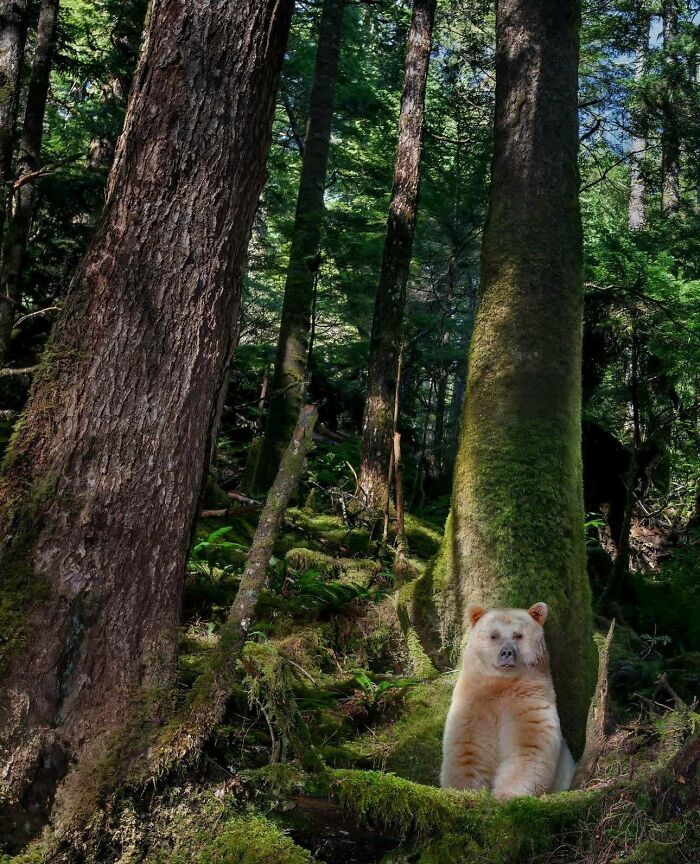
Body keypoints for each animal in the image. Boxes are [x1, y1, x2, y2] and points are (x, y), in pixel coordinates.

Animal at [440, 602, 575, 799]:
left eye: (518, 635)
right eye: (494, 635)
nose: (507, 653)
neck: (502, 684)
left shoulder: (529, 702)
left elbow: (528, 747)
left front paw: (505, 794)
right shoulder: (473, 704)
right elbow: (469, 747)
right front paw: (466, 790)